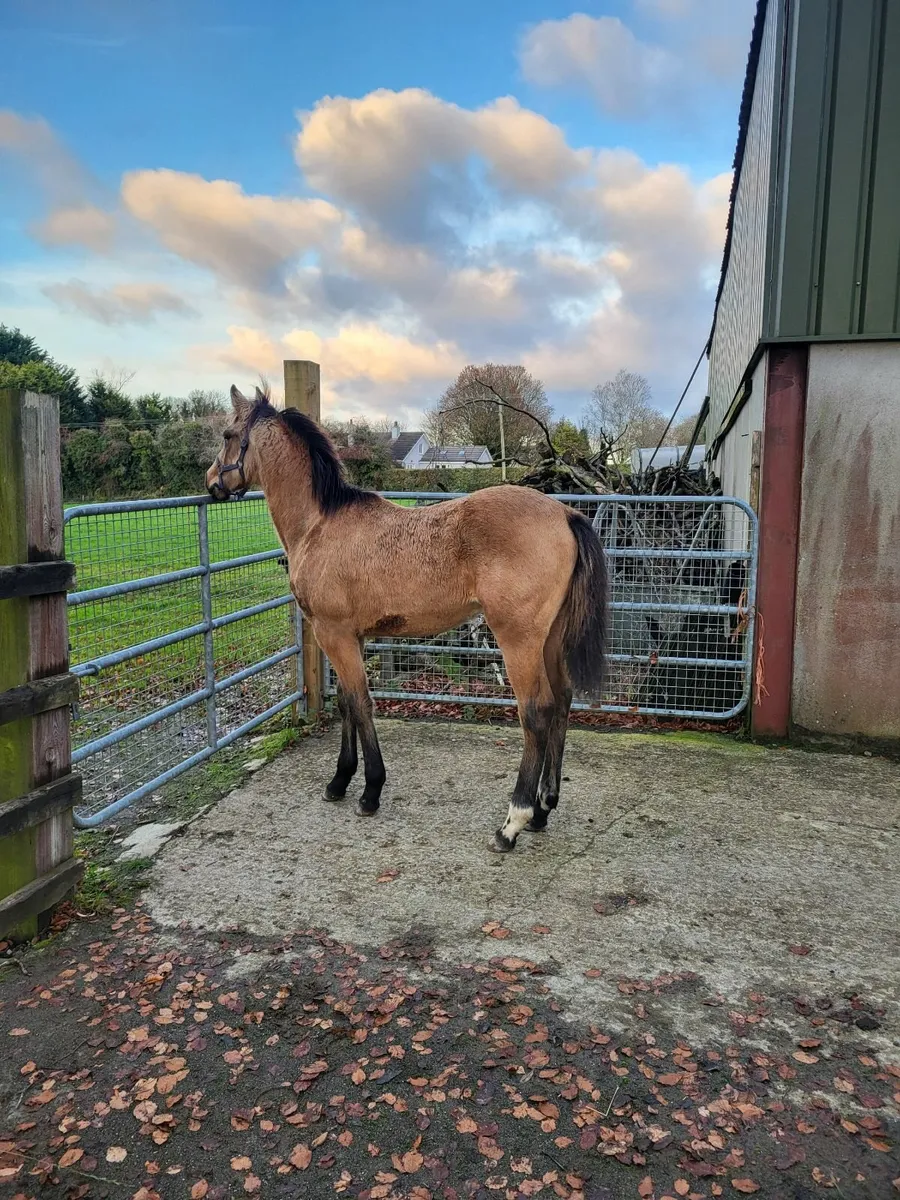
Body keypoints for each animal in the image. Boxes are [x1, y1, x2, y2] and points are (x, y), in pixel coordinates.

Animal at [206, 386, 608, 853]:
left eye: (228, 434)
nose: (212, 483)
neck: (319, 523)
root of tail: (565, 514)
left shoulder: (333, 633)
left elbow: (361, 703)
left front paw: (369, 791)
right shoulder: (351, 637)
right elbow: (346, 702)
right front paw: (340, 781)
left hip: (518, 641)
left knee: (536, 712)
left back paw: (513, 823)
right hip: (550, 639)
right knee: (561, 701)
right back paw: (544, 809)